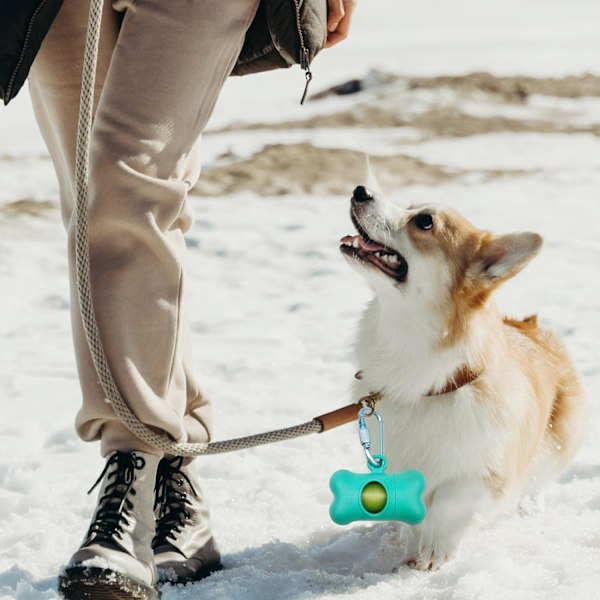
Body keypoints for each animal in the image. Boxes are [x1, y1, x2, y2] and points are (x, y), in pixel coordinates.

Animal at [342, 185, 584, 568]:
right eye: (410, 206)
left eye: (425, 221)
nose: (361, 191)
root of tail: (531, 327)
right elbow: (414, 513)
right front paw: (412, 549)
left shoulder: (485, 470)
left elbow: (450, 503)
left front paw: (435, 553)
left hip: (554, 446)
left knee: (537, 480)